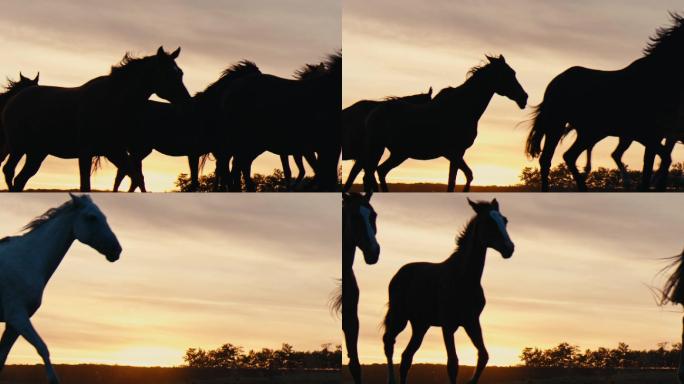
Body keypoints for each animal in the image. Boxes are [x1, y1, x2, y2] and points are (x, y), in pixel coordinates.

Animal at [0, 195, 120, 384]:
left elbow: (2, 358)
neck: (27, 259)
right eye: (92, 217)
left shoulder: (13, 324)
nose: (117, 249)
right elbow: (42, 348)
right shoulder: (17, 317)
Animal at [2, 47, 191, 192]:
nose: (186, 101)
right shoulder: (86, 152)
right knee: (9, 171)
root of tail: (13, 100)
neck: (110, 101)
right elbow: (86, 185)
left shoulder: (115, 151)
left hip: (37, 152)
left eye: (180, 73)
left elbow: (136, 178)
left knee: (20, 179)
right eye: (168, 74)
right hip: (18, 147)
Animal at [364, 56, 528, 192]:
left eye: (513, 72)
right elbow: (453, 182)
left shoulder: (456, 154)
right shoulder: (454, 153)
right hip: (383, 149)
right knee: (373, 173)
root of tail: (374, 112)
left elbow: (467, 176)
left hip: (398, 153)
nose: (524, 97)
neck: (461, 108)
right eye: (507, 74)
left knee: (378, 171)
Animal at [384, 200, 512, 382]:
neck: (463, 278)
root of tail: (398, 275)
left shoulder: (471, 321)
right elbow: (452, 364)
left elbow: (483, 356)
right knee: (389, 343)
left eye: (505, 220)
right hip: (399, 316)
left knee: (406, 357)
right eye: (488, 222)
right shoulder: (448, 324)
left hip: (421, 325)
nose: (509, 248)